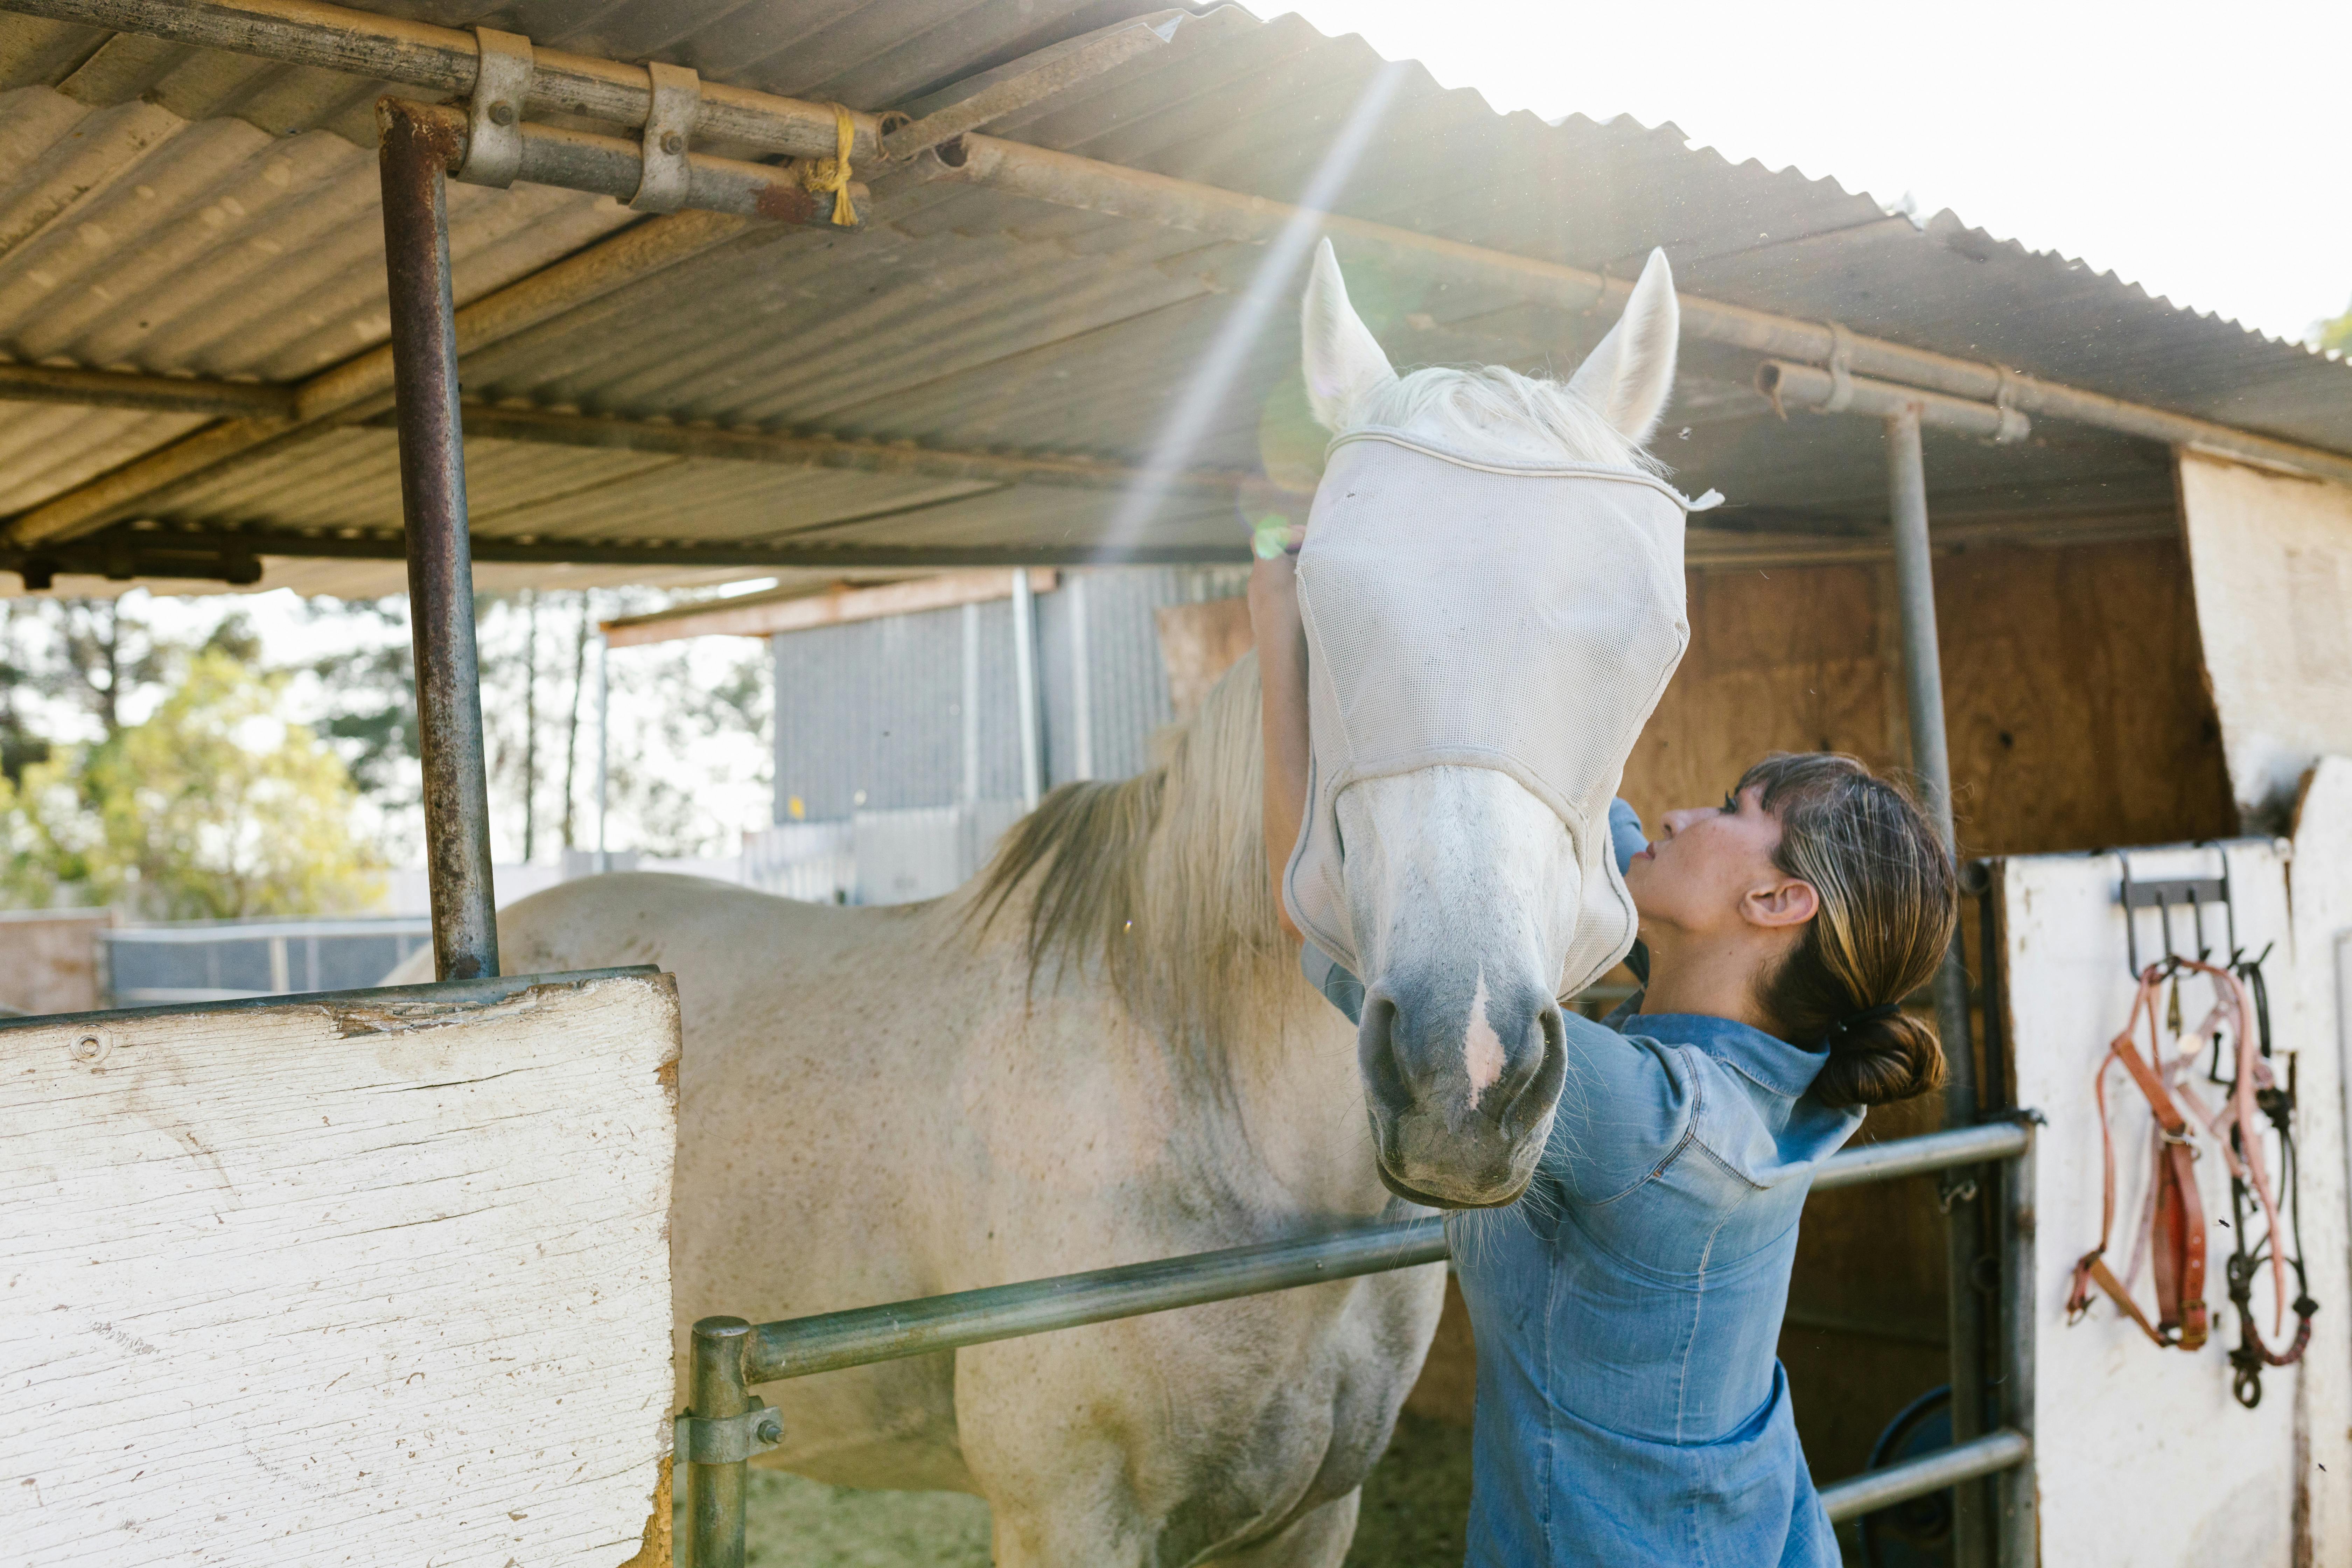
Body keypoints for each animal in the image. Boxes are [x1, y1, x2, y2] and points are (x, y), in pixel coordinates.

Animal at [396, 239, 1686, 1565]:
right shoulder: (1066, 1514)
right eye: (1326, 604)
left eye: (1650, 634)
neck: (1206, 1089)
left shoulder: (1318, 1511)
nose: (1462, 1068)